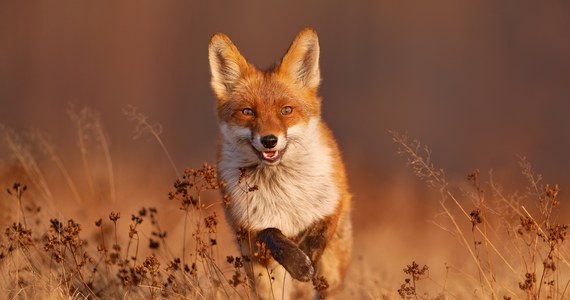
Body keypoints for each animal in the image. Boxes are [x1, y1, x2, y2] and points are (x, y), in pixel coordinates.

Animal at [209, 28, 350, 300]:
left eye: (286, 110)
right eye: (248, 112)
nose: (269, 140)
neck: (284, 190)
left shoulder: (334, 201)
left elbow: (319, 233)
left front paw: (307, 255)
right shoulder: (249, 231)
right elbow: (272, 234)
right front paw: (298, 262)